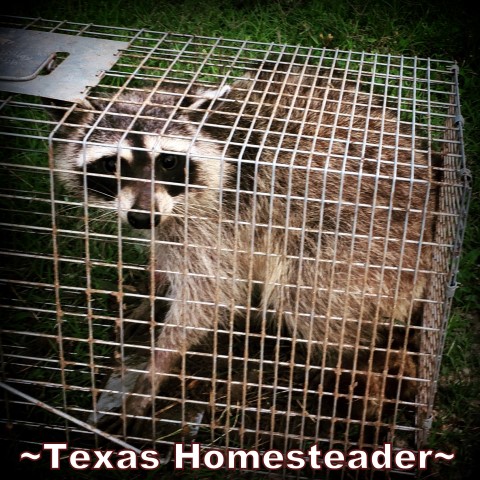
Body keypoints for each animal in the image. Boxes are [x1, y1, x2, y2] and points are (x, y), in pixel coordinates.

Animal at [48, 59, 438, 436]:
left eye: (168, 162)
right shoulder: (170, 219)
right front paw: (153, 292)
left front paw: (156, 370)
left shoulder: (220, 217)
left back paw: (349, 366)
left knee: (308, 301)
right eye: (111, 164)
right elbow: (166, 258)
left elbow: (207, 297)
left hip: (358, 242)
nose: (142, 218)